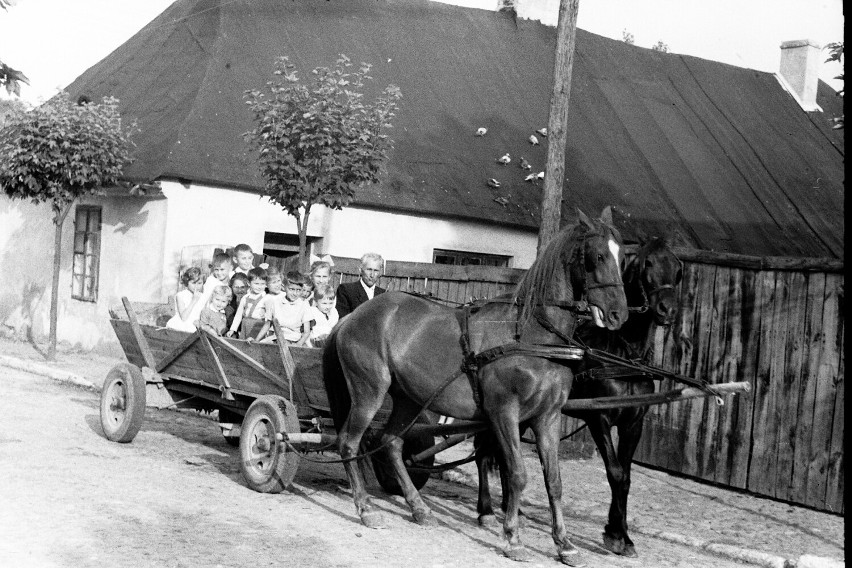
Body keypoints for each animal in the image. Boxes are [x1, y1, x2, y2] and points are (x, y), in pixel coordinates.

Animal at [322, 209, 628, 564]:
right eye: (597, 256)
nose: (619, 314)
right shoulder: (504, 413)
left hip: (408, 398)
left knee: (391, 444)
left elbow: (553, 480)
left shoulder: (546, 417)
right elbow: (516, 474)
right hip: (369, 392)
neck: (532, 335)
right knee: (349, 443)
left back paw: (419, 508)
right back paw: (366, 509)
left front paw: (564, 544)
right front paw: (513, 538)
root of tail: (353, 316)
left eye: (622, 256)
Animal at [476, 237, 684, 556]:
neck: (623, 356)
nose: (668, 309)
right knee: (481, 451)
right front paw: (615, 534)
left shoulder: (633, 422)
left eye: (676, 267)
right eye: (647, 263)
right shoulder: (599, 419)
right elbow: (615, 472)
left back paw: (511, 507)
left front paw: (622, 534)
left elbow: (625, 477)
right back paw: (485, 509)